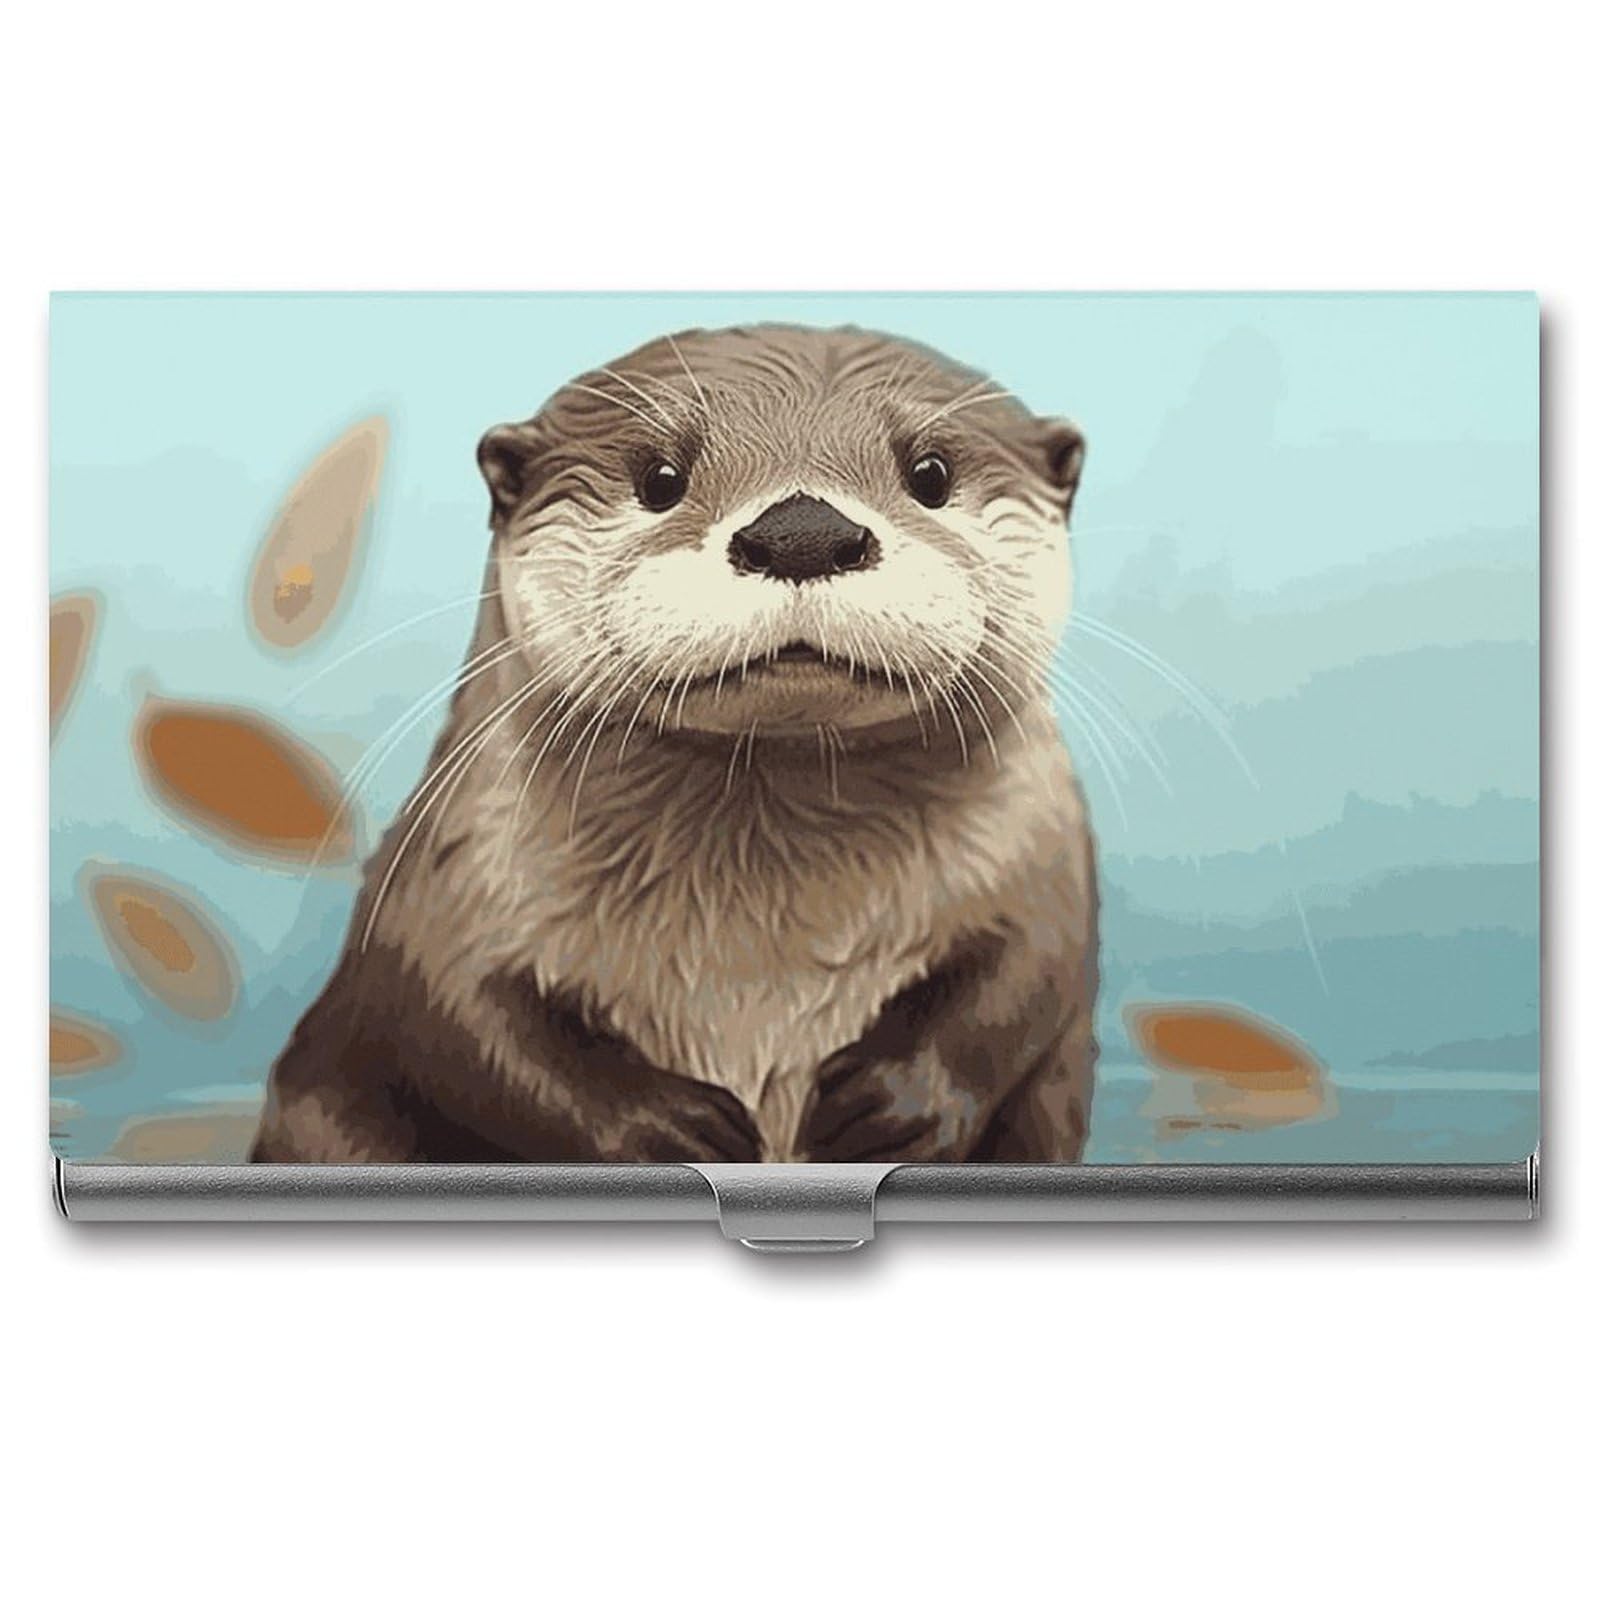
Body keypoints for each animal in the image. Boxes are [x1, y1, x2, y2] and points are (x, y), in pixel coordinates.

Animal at [252, 325, 1099, 1164]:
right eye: (660, 477)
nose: (802, 532)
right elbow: (451, 1009)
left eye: (930, 473)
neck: (765, 937)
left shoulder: (1039, 847)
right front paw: (661, 1128)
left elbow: (1031, 973)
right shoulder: (456, 869)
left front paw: (897, 1102)